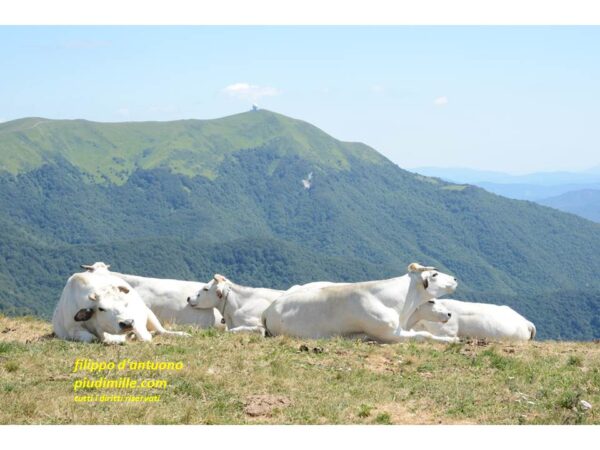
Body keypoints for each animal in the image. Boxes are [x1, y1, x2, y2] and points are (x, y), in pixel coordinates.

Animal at [54, 268, 190, 344]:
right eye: (101, 308)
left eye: (126, 304)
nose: (127, 323)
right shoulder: (73, 329)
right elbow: (91, 338)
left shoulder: (137, 321)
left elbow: (145, 337)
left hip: (149, 313)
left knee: (162, 331)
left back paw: (182, 334)